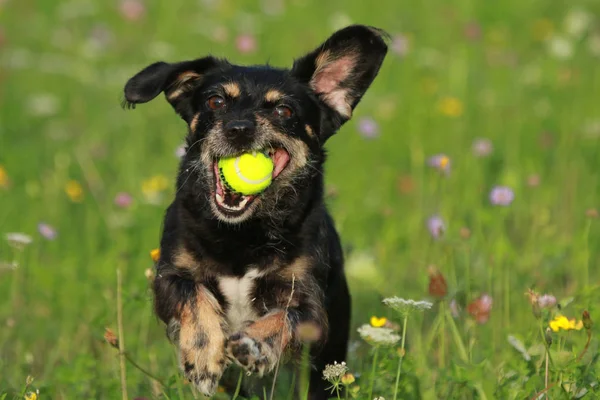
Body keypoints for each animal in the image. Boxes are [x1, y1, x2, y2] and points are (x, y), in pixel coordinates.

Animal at [123, 25, 390, 400]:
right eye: (216, 102)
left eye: (284, 111)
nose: (238, 129)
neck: (242, 236)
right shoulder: (168, 278)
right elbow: (194, 295)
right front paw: (203, 356)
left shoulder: (311, 309)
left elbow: (283, 318)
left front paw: (253, 344)